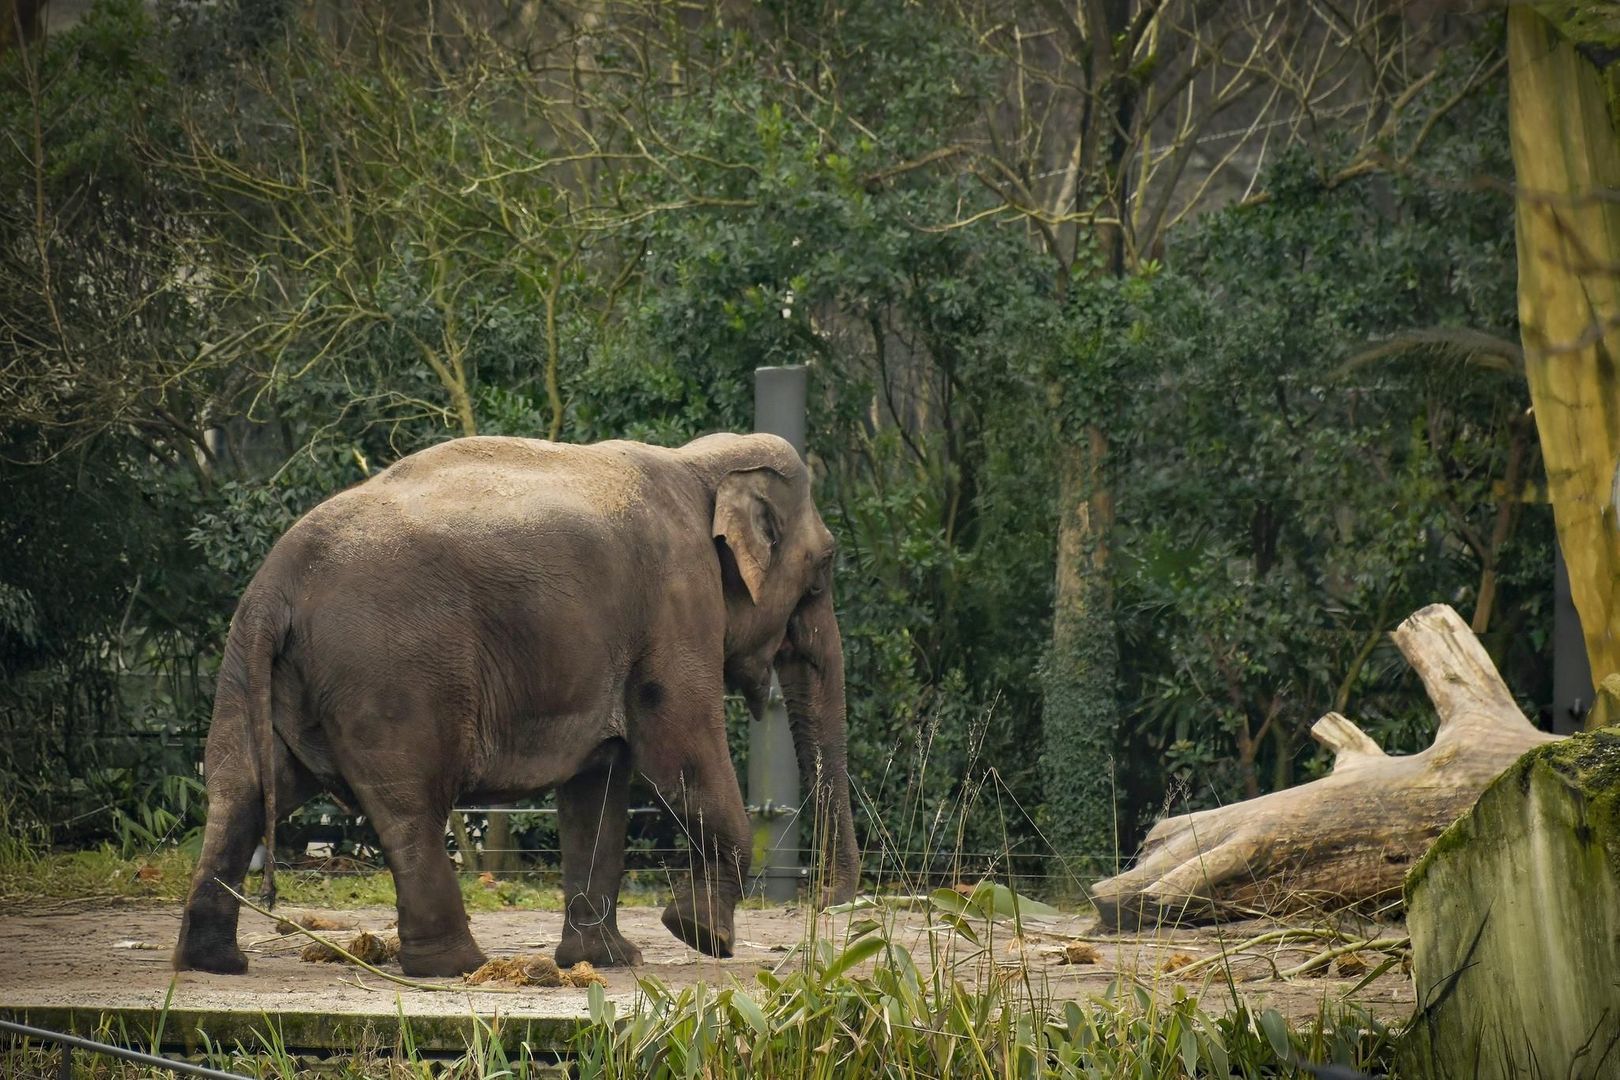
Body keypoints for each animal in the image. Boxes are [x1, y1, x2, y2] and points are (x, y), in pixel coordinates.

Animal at [172, 430, 861, 977]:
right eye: (825, 566)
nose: (829, 905)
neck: (698, 463)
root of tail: (277, 584)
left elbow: (598, 787)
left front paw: (608, 960)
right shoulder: (676, 602)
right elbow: (680, 751)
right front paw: (701, 936)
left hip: (252, 669)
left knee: (241, 789)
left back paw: (216, 963)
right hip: (389, 673)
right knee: (408, 804)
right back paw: (456, 967)